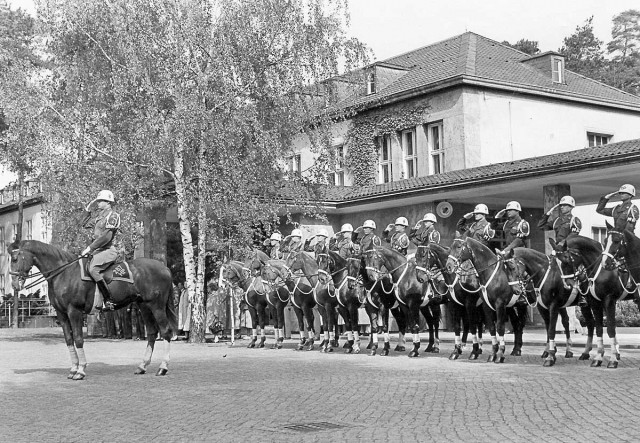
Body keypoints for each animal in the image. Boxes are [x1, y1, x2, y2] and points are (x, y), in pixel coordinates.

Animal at [8, 241, 178, 380]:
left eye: (15, 259)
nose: (14, 284)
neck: (64, 273)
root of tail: (164, 267)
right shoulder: (62, 314)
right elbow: (69, 340)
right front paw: (73, 369)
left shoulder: (74, 312)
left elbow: (78, 339)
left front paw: (80, 371)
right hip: (144, 306)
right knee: (152, 333)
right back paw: (142, 366)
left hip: (156, 306)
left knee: (165, 331)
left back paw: (162, 368)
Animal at [552, 234, 636, 370]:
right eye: (554, 262)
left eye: (566, 260)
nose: (566, 285)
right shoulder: (595, 303)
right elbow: (599, 328)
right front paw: (598, 358)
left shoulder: (609, 301)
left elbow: (610, 328)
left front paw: (613, 359)